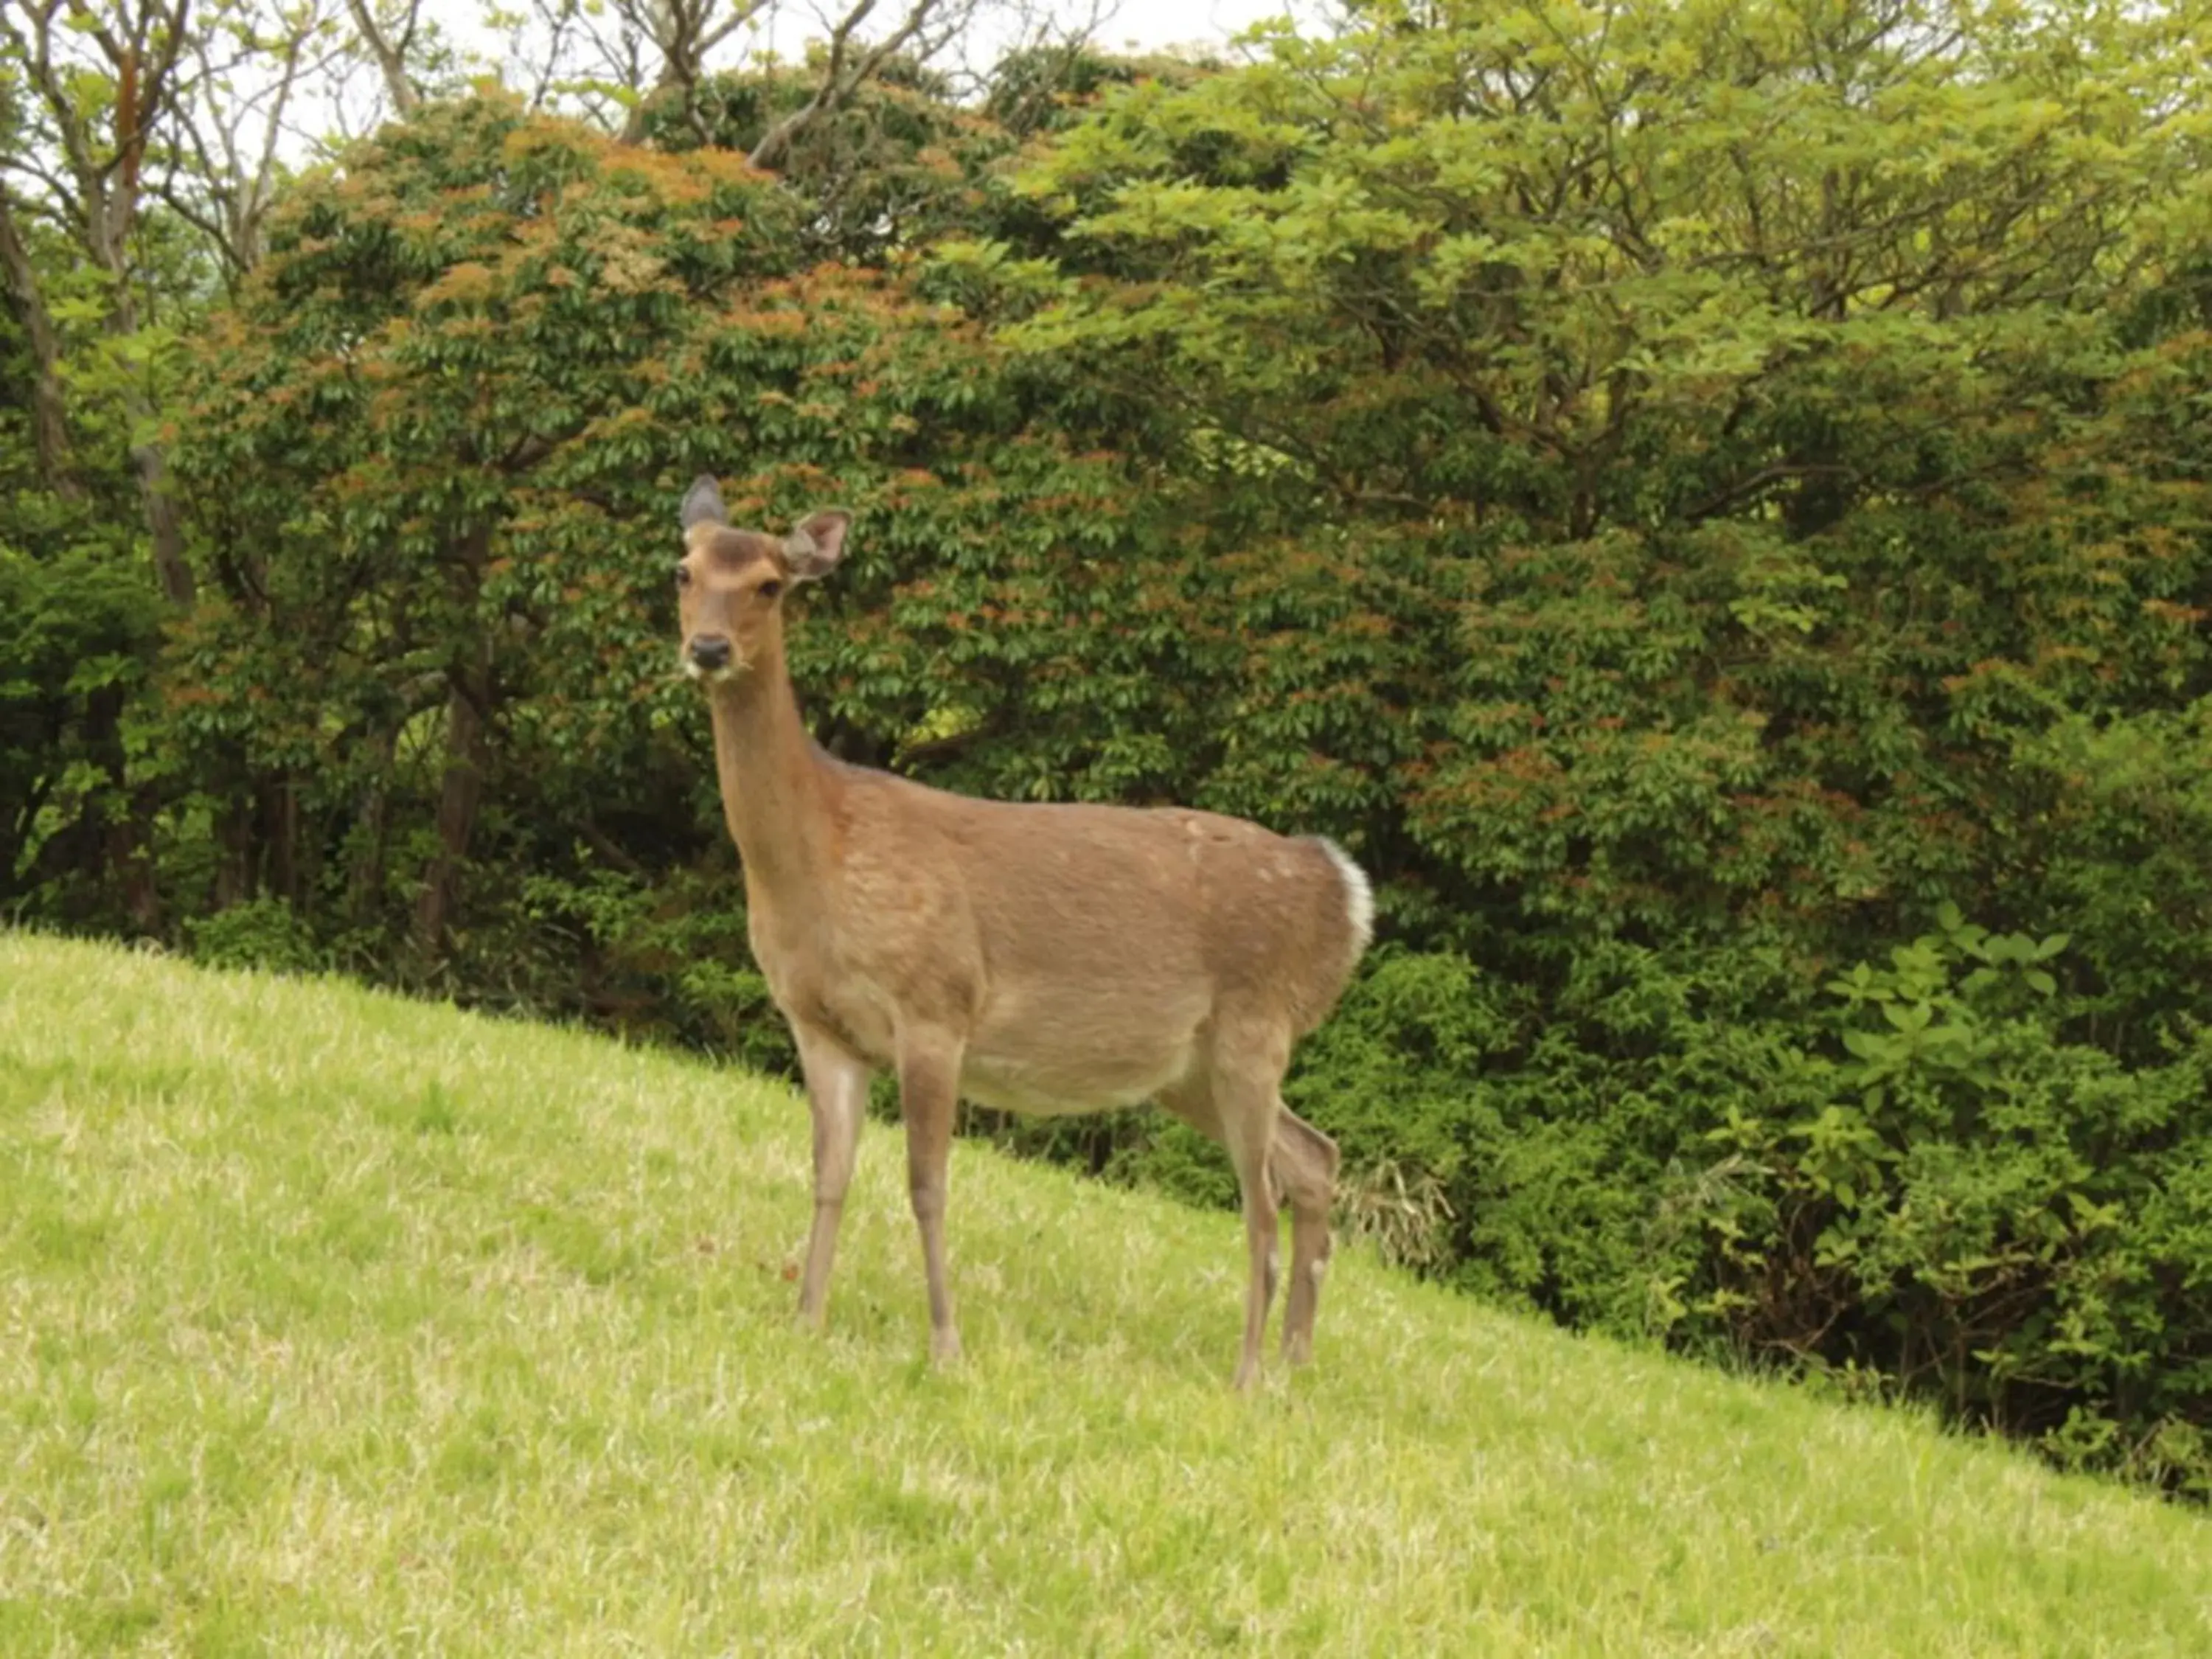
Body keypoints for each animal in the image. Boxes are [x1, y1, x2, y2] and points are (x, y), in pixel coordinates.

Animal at [664, 478, 1371, 1389]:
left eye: (769, 585)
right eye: (683, 571)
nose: (710, 648)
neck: (822, 854)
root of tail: (1344, 897)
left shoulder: (936, 1002)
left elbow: (926, 1184)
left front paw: (945, 1346)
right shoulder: (820, 1024)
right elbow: (829, 1173)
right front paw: (806, 1320)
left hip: (1258, 1023)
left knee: (1260, 1207)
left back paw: (1249, 1375)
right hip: (1191, 1066)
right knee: (1312, 1157)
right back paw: (1295, 1363)